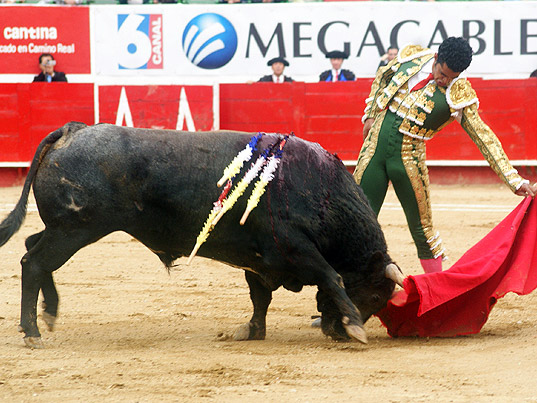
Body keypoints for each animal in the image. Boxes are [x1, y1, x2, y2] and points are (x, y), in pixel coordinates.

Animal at [0, 122, 404, 349]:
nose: (337, 332)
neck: (321, 193)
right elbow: (332, 277)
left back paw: (49, 313)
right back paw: (33, 332)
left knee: (32, 249)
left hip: (64, 228)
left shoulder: (259, 259)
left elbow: (260, 298)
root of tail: (73, 131)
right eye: (374, 295)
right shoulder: (295, 249)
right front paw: (357, 328)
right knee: (33, 262)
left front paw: (249, 331)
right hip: (75, 229)